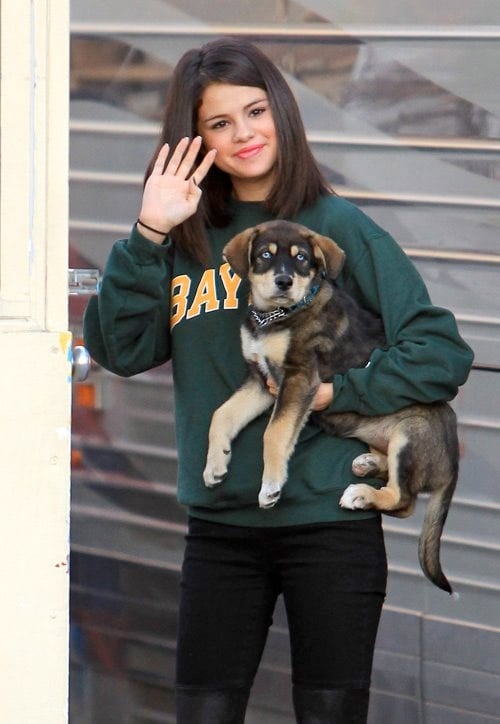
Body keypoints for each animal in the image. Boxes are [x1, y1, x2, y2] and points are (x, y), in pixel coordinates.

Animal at [202, 221, 458, 592]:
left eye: (302, 259)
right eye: (265, 255)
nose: (284, 282)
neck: (276, 316)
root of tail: (452, 466)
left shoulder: (299, 379)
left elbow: (274, 432)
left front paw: (271, 487)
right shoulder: (261, 381)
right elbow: (221, 414)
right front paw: (215, 465)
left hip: (413, 432)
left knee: (404, 501)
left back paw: (362, 495)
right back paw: (368, 464)